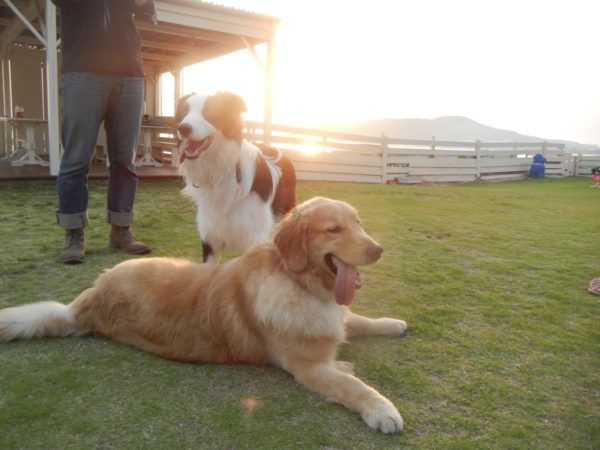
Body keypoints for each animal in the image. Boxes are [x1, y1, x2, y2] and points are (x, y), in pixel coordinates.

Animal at [0, 197, 406, 433]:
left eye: (358, 223)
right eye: (333, 229)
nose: (380, 250)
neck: (297, 281)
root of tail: (86, 302)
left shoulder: (332, 318)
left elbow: (358, 319)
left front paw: (393, 323)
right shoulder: (306, 366)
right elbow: (352, 385)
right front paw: (381, 409)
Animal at [176, 91, 296, 264]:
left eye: (209, 111)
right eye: (184, 113)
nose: (183, 128)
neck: (221, 172)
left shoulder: (254, 237)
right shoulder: (210, 239)